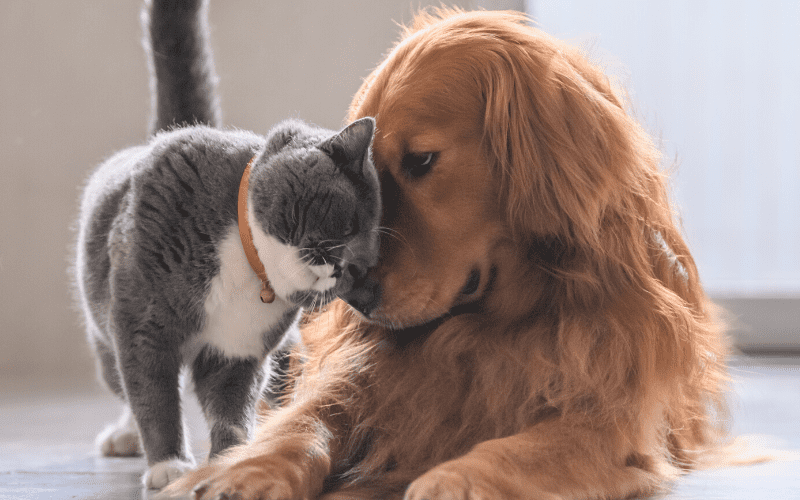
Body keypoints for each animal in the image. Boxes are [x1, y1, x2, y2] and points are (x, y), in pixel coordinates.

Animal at [73, 0, 380, 490]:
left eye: (360, 267)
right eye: (348, 225)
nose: (341, 268)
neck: (246, 265)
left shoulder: (239, 350)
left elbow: (231, 408)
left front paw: (230, 461)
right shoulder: (143, 324)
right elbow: (153, 394)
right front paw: (167, 464)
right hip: (104, 326)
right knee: (122, 380)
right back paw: (126, 436)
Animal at [170, 7, 732, 500]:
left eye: (421, 160)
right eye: (365, 180)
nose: (354, 297)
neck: (491, 325)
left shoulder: (610, 421)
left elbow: (520, 447)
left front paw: (453, 480)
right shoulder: (359, 377)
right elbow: (304, 423)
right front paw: (244, 470)